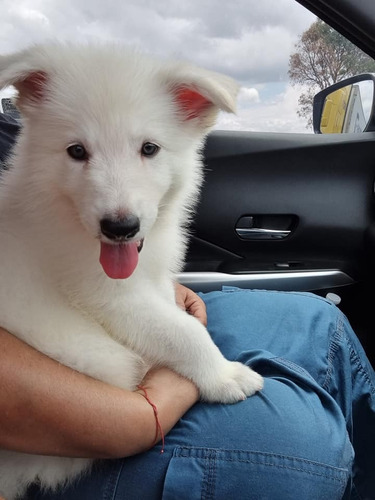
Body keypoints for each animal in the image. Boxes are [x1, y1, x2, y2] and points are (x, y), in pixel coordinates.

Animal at [0, 44, 264, 500]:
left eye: (149, 149)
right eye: (76, 151)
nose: (120, 227)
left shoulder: (148, 283)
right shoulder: (109, 298)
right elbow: (185, 331)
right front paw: (224, 375)